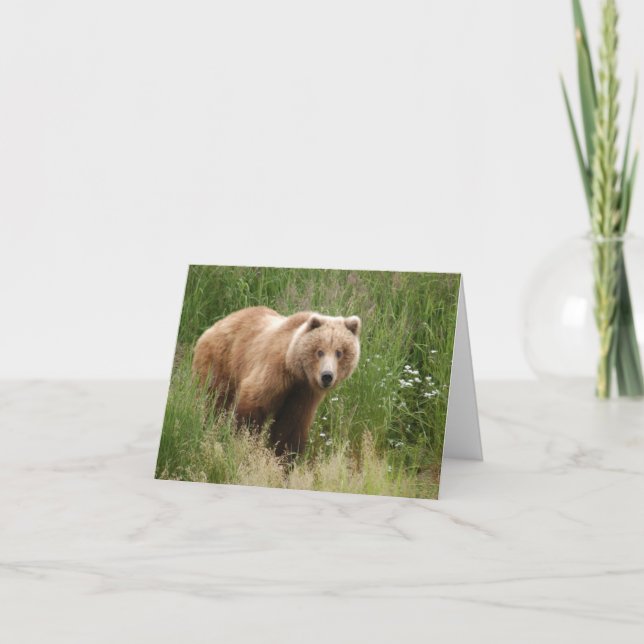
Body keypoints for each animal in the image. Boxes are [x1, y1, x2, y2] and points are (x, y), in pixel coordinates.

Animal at [192, 306, 361, 455]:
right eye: (320, 351)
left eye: (339, 352)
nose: (327, 376)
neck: (296, 372)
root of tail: (217, 323)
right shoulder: (274, 372)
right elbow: (252, 405)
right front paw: (245, 441)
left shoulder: (303, 393)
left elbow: (291, 426)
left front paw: (284, 457)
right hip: (221, 361)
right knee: (213, 400)